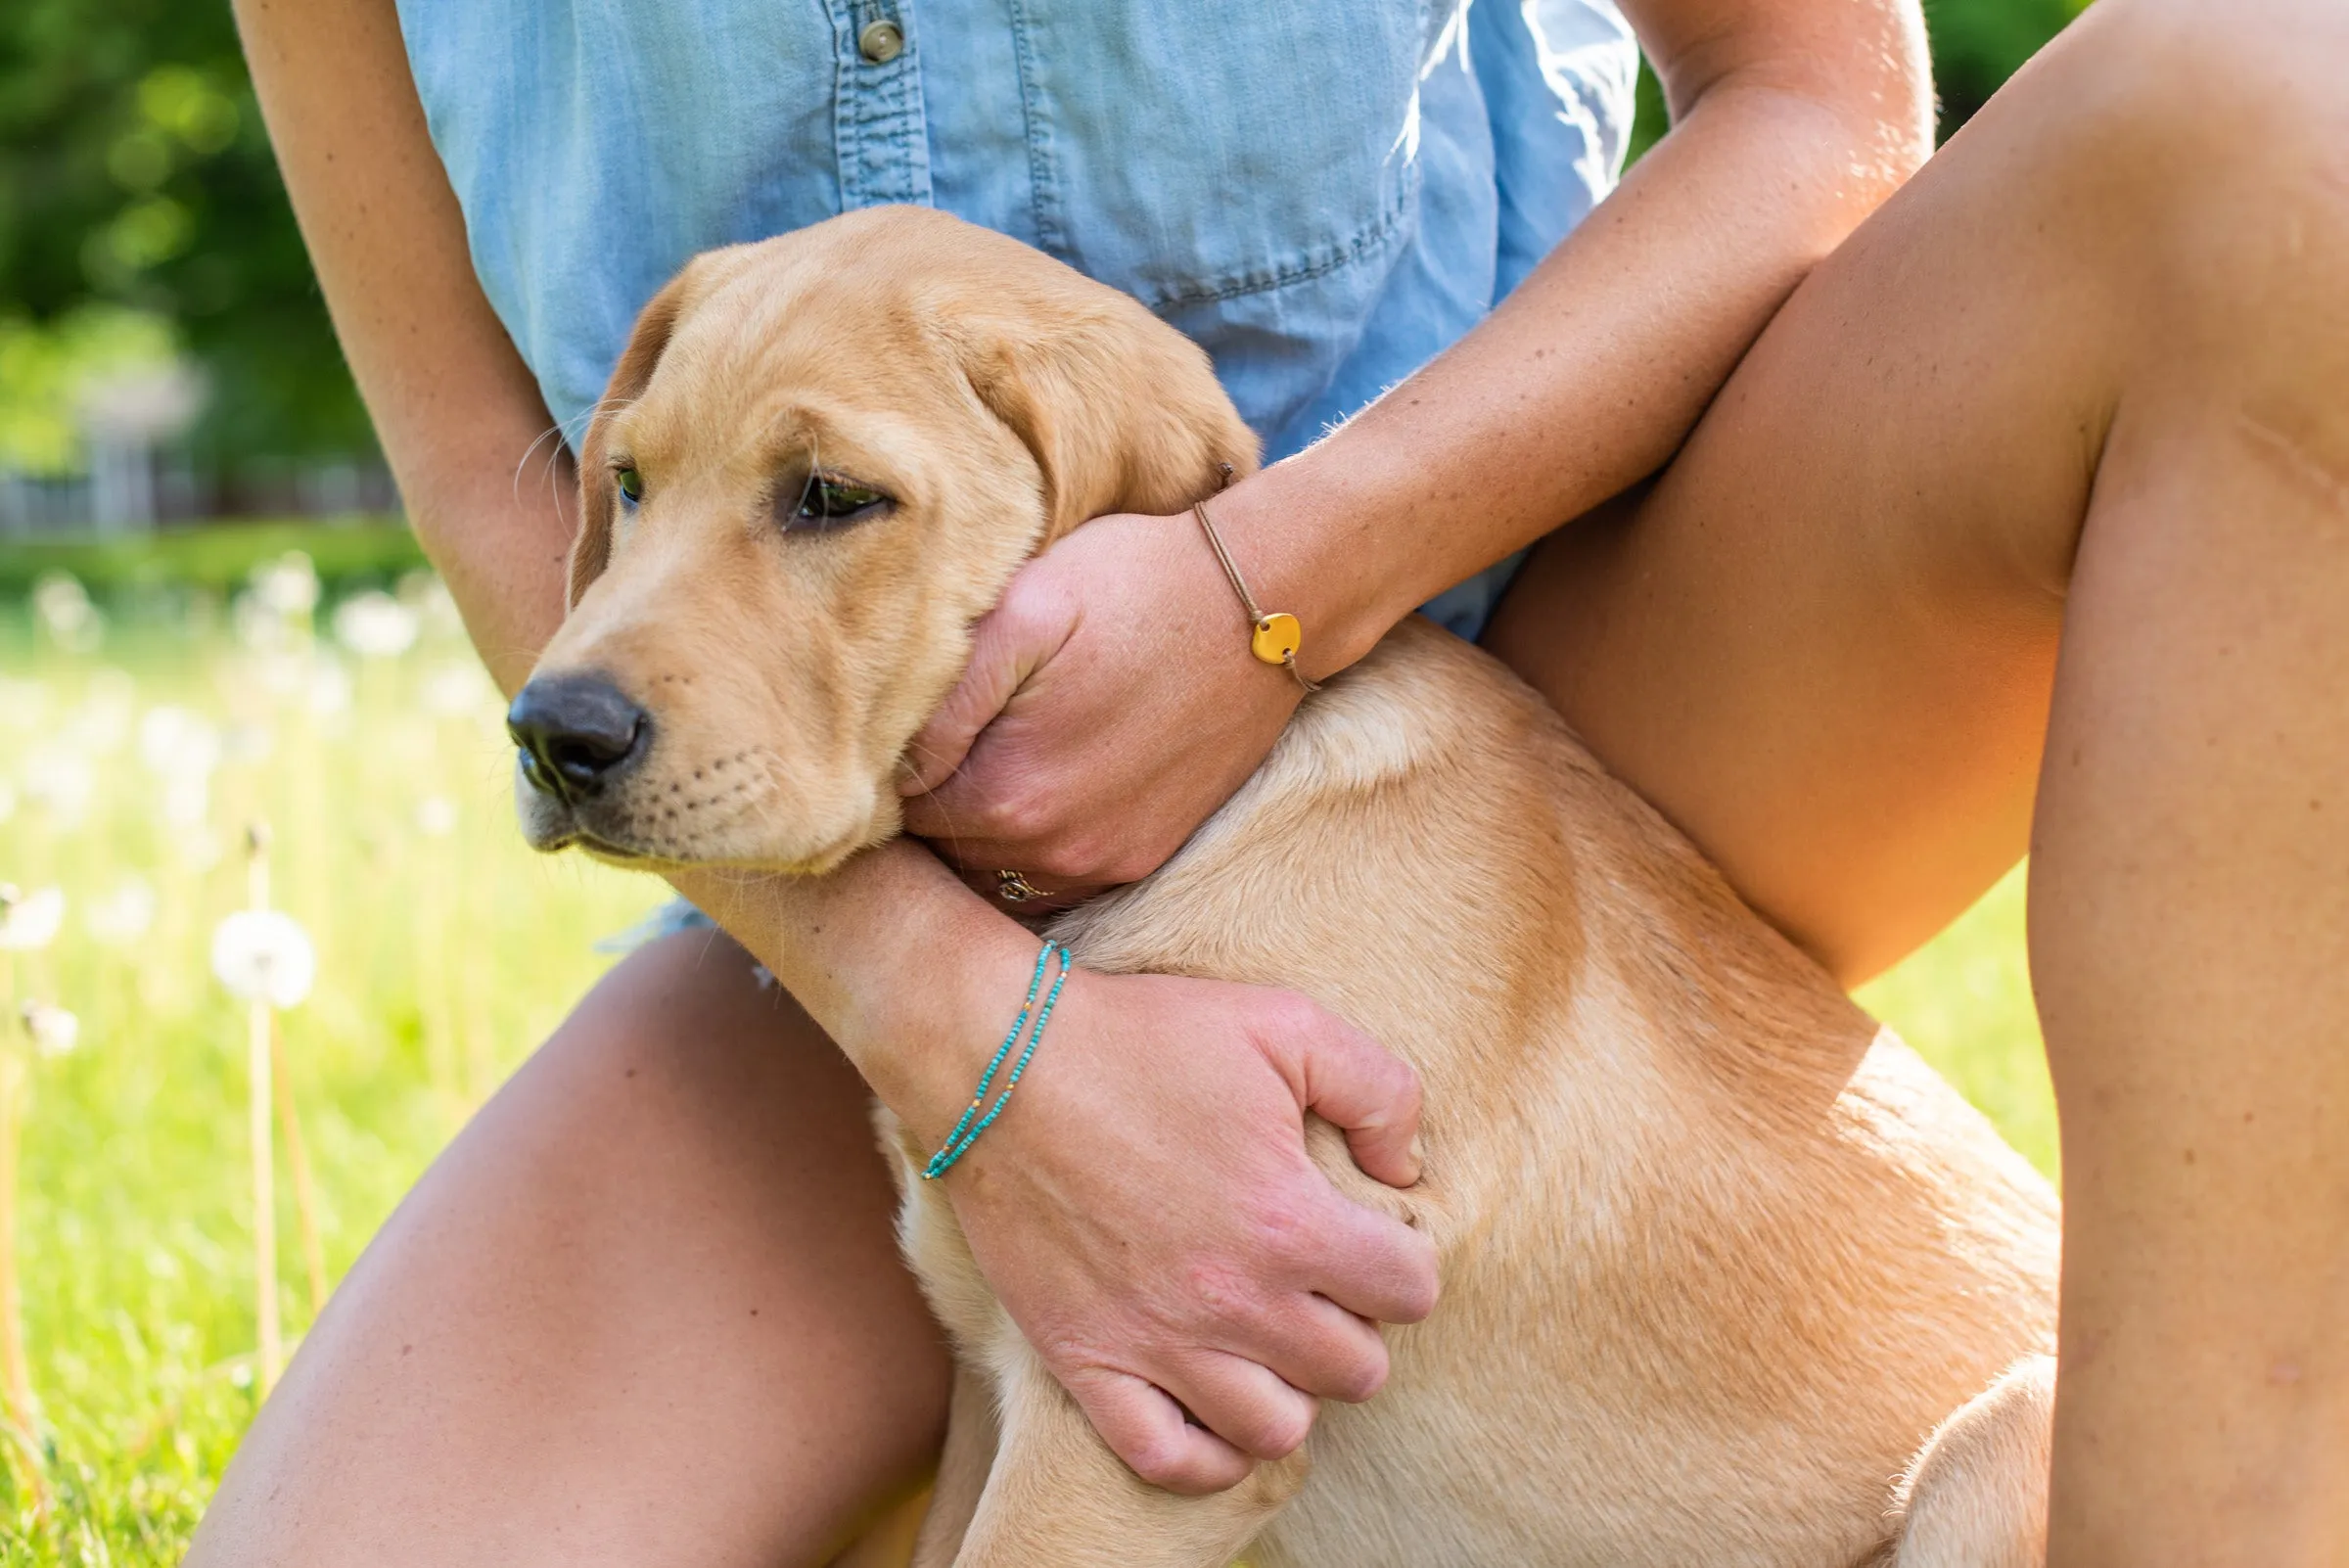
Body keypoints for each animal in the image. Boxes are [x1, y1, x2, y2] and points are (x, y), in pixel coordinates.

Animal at [509, 208, 2057, 1568]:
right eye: (630, 485)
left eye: (832, 498)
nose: (551, 733)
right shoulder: (1004, 1387)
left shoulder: (1138, 1431)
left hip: (2007, 1445)